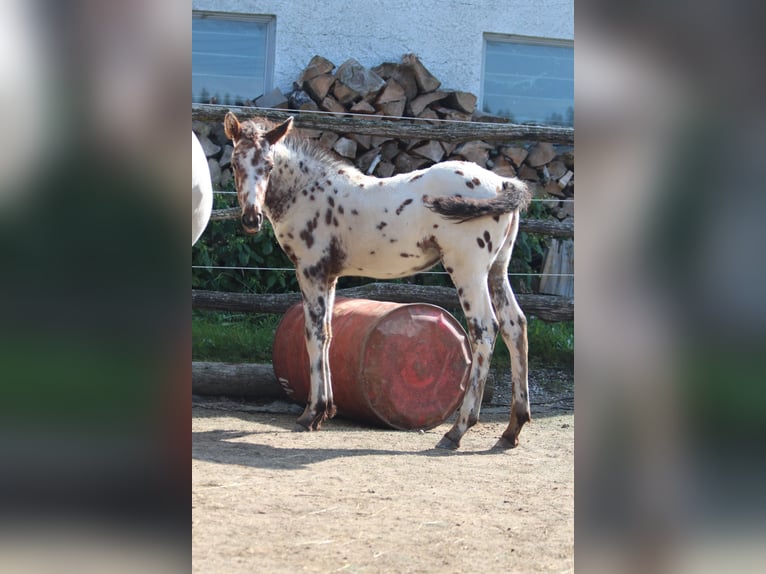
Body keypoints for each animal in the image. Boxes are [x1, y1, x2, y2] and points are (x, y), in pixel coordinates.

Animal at [224, 112, 536, 452]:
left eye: (268, 166)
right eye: (234, 163)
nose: (251, 219)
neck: (307, 190)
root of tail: (503, 182)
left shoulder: (311, 270)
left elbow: (313, 334)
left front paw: (311, 413)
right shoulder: (330, 276)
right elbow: (329, 333)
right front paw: (327, 409)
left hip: (468, 269)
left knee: (485, 329)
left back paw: (457, 430)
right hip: (497, 270)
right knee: (515, 325)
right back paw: (512, 429)